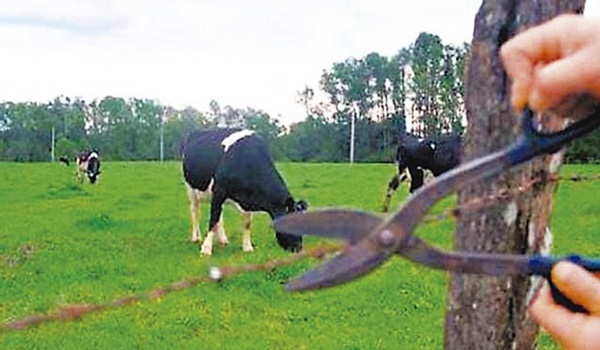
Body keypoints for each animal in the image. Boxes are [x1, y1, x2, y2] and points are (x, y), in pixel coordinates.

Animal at [180, 127, 308, 256]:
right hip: (191, 189)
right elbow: (213, 218)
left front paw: (247, 247)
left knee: (219, 216)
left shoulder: (246, 197)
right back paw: (196, 237)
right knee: (195, 212)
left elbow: (246, 223)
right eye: (291, 224)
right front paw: (206, 249)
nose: (298, 248)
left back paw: (223, 239)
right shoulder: (219, 190)